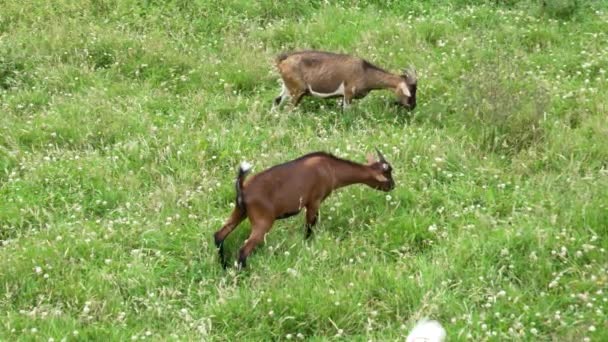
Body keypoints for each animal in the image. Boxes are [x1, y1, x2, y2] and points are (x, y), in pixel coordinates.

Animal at [213, 150, 394, 270]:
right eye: (387, 175)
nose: (393, 186)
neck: (331, 168)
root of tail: (243, 188)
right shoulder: (314, 201)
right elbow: (309, 226)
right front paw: (308, 245)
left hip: (239, 212)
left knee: (219, 235)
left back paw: (224, 266)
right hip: (262, 220)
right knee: (243, 250)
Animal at [276, 50, 418, 109]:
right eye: (410, 91)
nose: (412, 106)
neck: (364, 71)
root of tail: (283, 61)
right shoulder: (348, 93)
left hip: (287, 88)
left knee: (277, 101)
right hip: (297, 91)